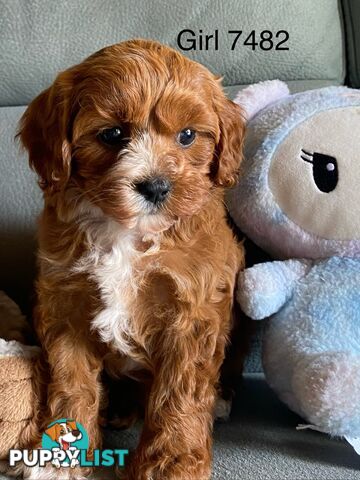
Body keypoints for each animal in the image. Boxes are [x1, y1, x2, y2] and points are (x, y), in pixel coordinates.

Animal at [19, 39, 245, 478]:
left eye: (187, 135)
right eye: (112, 134)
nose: (156, 186)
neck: (128, 232)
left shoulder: (192, 312)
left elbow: (180, 392)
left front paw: (172, 463)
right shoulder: (66, 304)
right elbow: (71, 380)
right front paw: (61, 460)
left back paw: (223, 401)